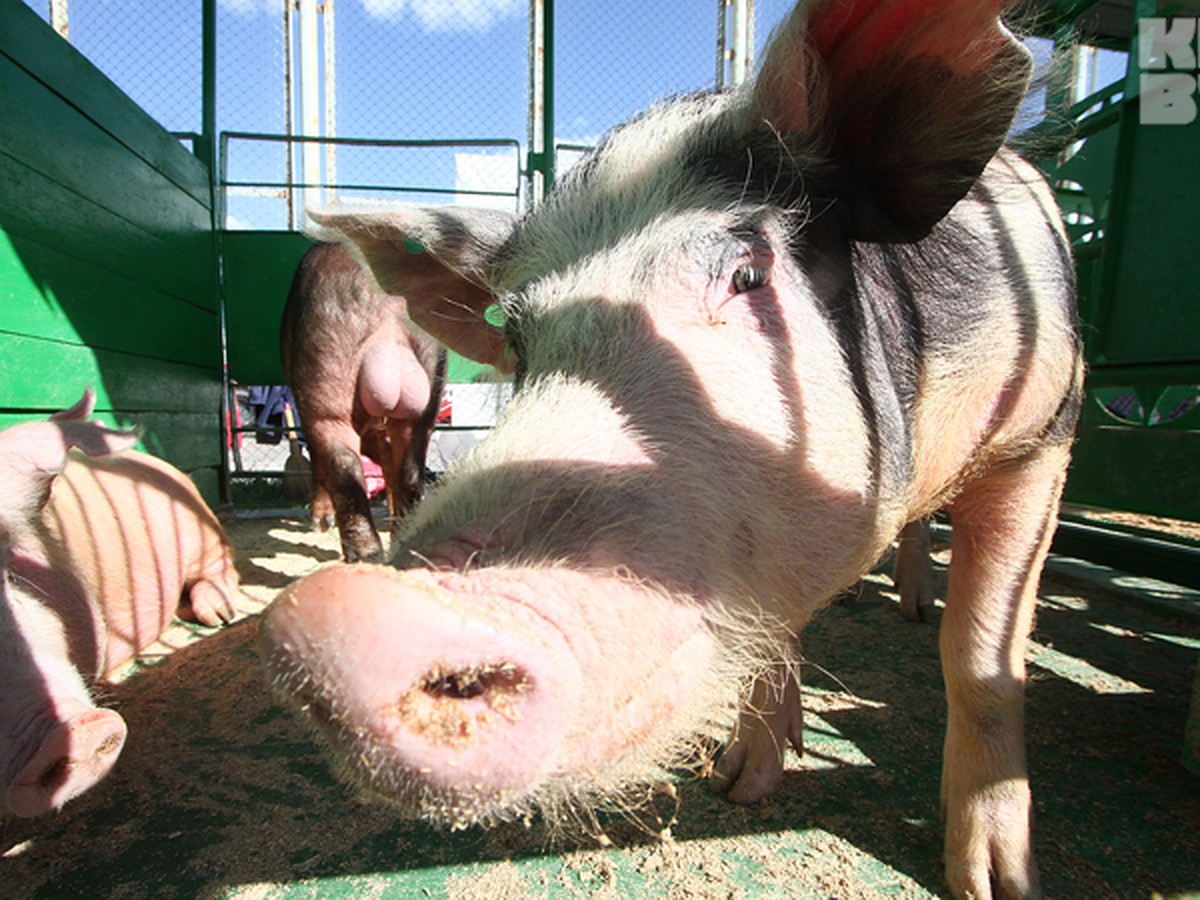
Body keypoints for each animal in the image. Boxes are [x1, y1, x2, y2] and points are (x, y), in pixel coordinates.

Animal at [278, 243, 448, 561]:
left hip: (327, 364)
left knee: (341, 461)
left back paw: (362, 553)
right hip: (429, 384)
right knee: (409, 467)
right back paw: (401, 539)